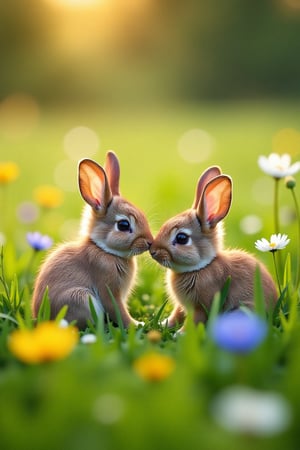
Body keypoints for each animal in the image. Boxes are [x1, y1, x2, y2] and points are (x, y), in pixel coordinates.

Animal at [31, 151, 154, 330]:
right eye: (123, 225)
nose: (150, 242)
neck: (104, 250)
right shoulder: (108, 286)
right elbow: (118, 310)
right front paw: (137, 324)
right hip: (79, 298)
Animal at [151, 165, 278, 330]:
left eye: (181, 238)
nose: (152, 251)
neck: (200, 268)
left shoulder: (202, 305)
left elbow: (195, 321)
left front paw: (181, 333)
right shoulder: (181, 306)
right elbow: (176, 315)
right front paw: (163, 324)